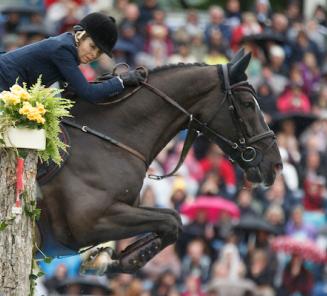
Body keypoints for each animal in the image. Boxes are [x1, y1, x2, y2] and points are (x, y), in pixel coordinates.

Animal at [37, 50, 284, 272]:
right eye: (248, 104)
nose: (276, 165)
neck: (104, 138)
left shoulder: (125, 209)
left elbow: (172, 218)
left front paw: (109, 257)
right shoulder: (91, 222)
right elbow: (171, 223)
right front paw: (111, 261)